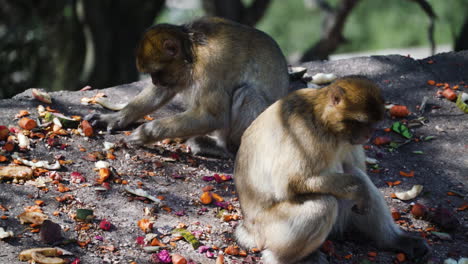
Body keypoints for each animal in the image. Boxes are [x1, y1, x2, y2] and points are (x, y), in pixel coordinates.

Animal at [85, 16, 288, 157]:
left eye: (156, 72)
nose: (154, 81)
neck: (192, 51)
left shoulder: (210, 65)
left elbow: (212, 116)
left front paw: (146, 133)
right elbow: (163, 91)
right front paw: (116, 118)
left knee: (248, 93)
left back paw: (223, 148)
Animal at [234, 75, 428, 262]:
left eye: (373, 124)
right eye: (362, 122)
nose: (368, 135)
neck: (324, 122)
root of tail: (248, 228)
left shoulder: (348, 141)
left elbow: (353, 169)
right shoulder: (302, 132)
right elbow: (291, 182)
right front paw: (358, 188)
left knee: (353, 175)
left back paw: (394, 240)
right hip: (268, 229)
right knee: (324, 205)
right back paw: (282, 258)